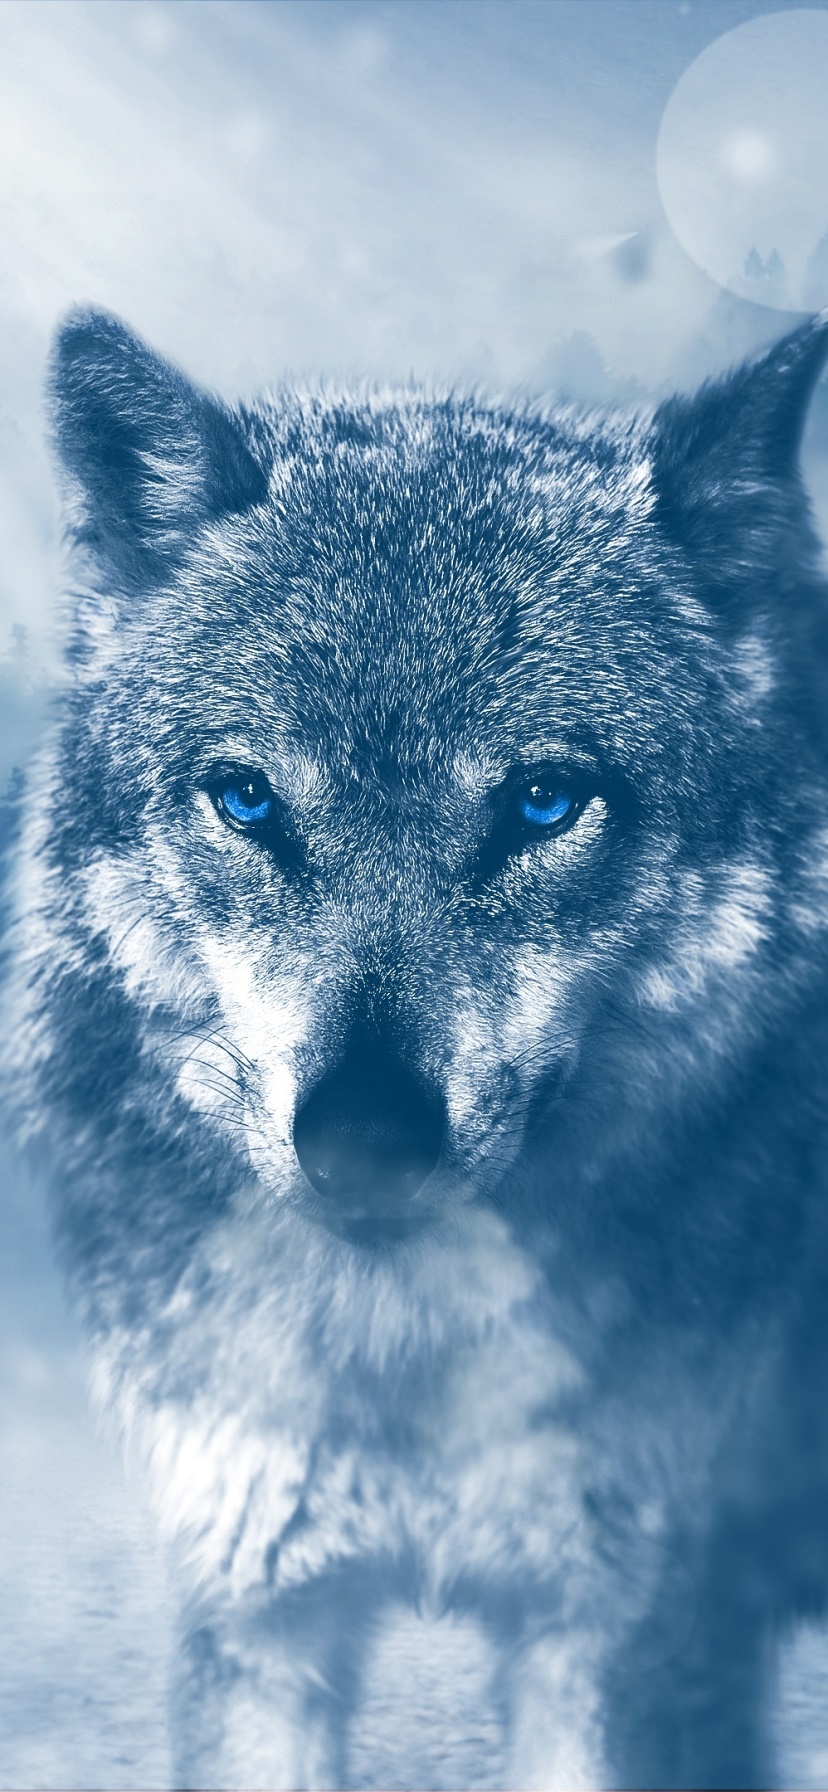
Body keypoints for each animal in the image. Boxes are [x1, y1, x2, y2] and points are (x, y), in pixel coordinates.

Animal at [3, 305, 828, 1790]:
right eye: (248, 799)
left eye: (546, 800)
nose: (367, 1138)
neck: (401, 1358)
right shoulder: (258, 1610)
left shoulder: (629, 1634)